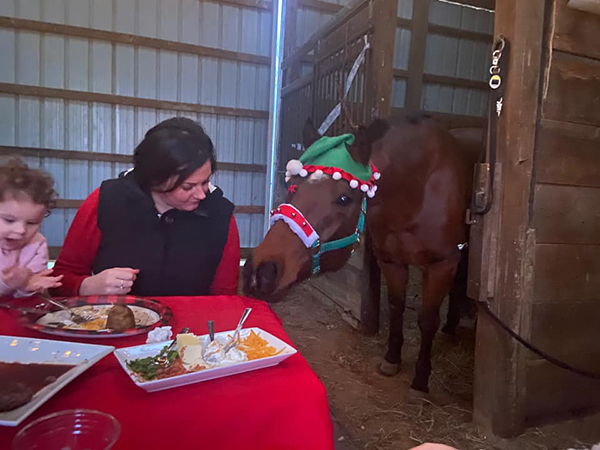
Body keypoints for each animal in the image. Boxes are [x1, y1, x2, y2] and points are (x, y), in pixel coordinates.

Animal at [244, 113, 482, 394]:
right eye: (292, 186)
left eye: (344, 198)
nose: (260, 272)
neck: (417, 188)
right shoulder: (391, 261)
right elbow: (397, 306)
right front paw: (392, 358)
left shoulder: (441, 265)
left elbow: (427, 319)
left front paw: (421, 378)